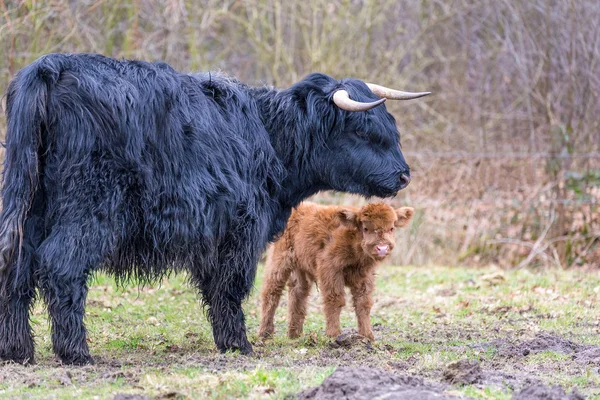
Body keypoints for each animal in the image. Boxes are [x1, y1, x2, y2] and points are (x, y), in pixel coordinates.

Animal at [258, 203, 412, 340]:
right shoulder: (330, 269)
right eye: (366, 228)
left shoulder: (365, 276)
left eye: (391, 228)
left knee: (298, 293)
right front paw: (334, 334)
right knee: (271, 292)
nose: (382, 248)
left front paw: (367, 335)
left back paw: (294, 334)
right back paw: (265, 333)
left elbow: (363, 302)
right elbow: (335, 299)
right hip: (279, 261)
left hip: (300, 268)